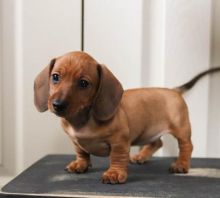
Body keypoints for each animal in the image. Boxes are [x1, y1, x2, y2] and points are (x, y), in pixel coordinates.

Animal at [34, 51, 220, 184]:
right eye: (55, 77)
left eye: (83, 83)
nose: (57, 104)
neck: (82, 120)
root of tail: (174, 90)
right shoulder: (75, 140)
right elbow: (81, 152)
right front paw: (80, 164)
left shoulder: (119, 141)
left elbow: (117, 157)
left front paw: (114, 173)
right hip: (148, 131)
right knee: (157, 143)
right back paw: (140, 157)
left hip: (181, 128)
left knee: (186, 145)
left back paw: (181, 165)